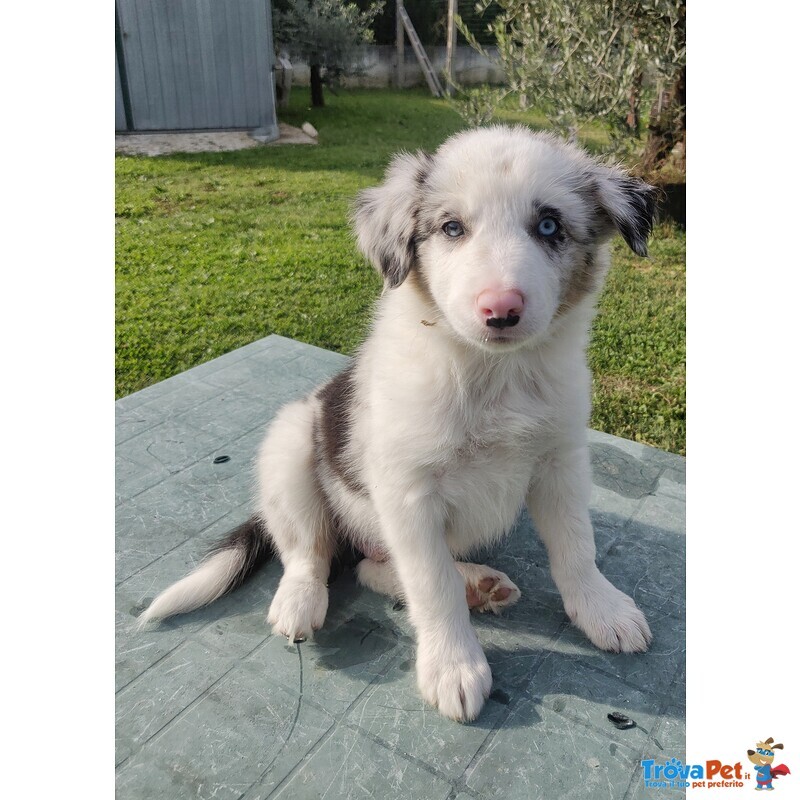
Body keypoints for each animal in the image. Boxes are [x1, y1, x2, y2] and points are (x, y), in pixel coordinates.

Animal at [141, 123, 656, 720]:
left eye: (549, 225)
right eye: (452, 228)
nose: (500, 310)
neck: (491, 375)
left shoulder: (561, 463)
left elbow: (577, 547)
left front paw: (601, 609)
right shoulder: (408, 492)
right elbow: (431, 585)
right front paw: (453, 666)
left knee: (371, 566)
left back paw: (477, 584)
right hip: (292, 444)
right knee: (311, 550)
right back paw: (301, 599)